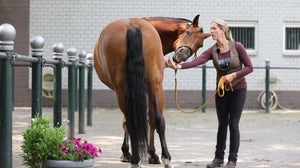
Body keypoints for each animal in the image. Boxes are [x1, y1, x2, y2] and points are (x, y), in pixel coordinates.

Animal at [94, 15, 211, 167]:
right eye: (188, 33)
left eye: (200, 44)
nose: (181, 55)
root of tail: (132, 26)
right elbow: (151, 120)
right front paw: (150, 154)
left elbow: (134, 121)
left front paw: (128, 153)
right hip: (155, 85)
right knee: (159, 119)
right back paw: (165, 158)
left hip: (124, 89)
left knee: (133, 121)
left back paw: (137, 159)